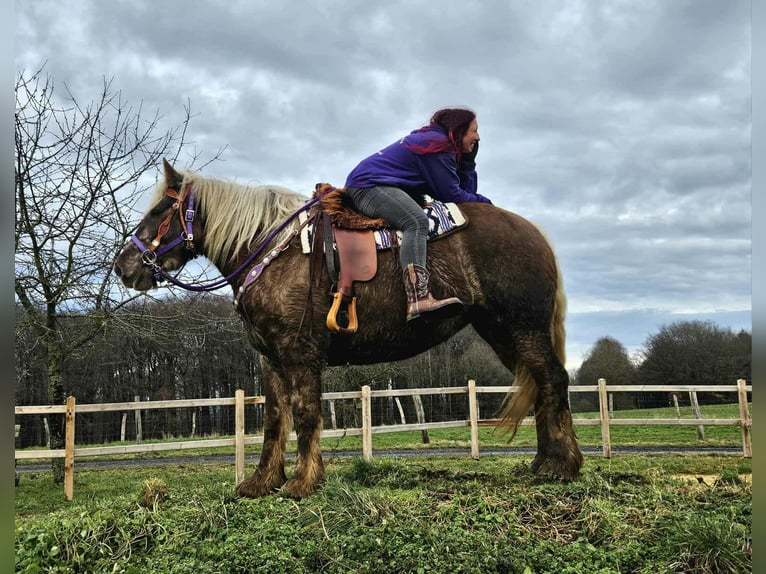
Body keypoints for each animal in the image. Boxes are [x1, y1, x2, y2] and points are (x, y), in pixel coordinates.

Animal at [113, 159, 583, 499]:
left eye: (160, 210)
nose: (123, 265)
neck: (271, 251)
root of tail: (534, 233)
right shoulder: (269, 360)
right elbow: (274, 420)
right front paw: (262, 482)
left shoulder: (299, 352)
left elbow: (306, 414)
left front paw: (303, 481)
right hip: (503, 333)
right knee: (539, 383)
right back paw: (544, 462)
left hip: (524, 329)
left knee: (553, 380)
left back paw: (562, 464)